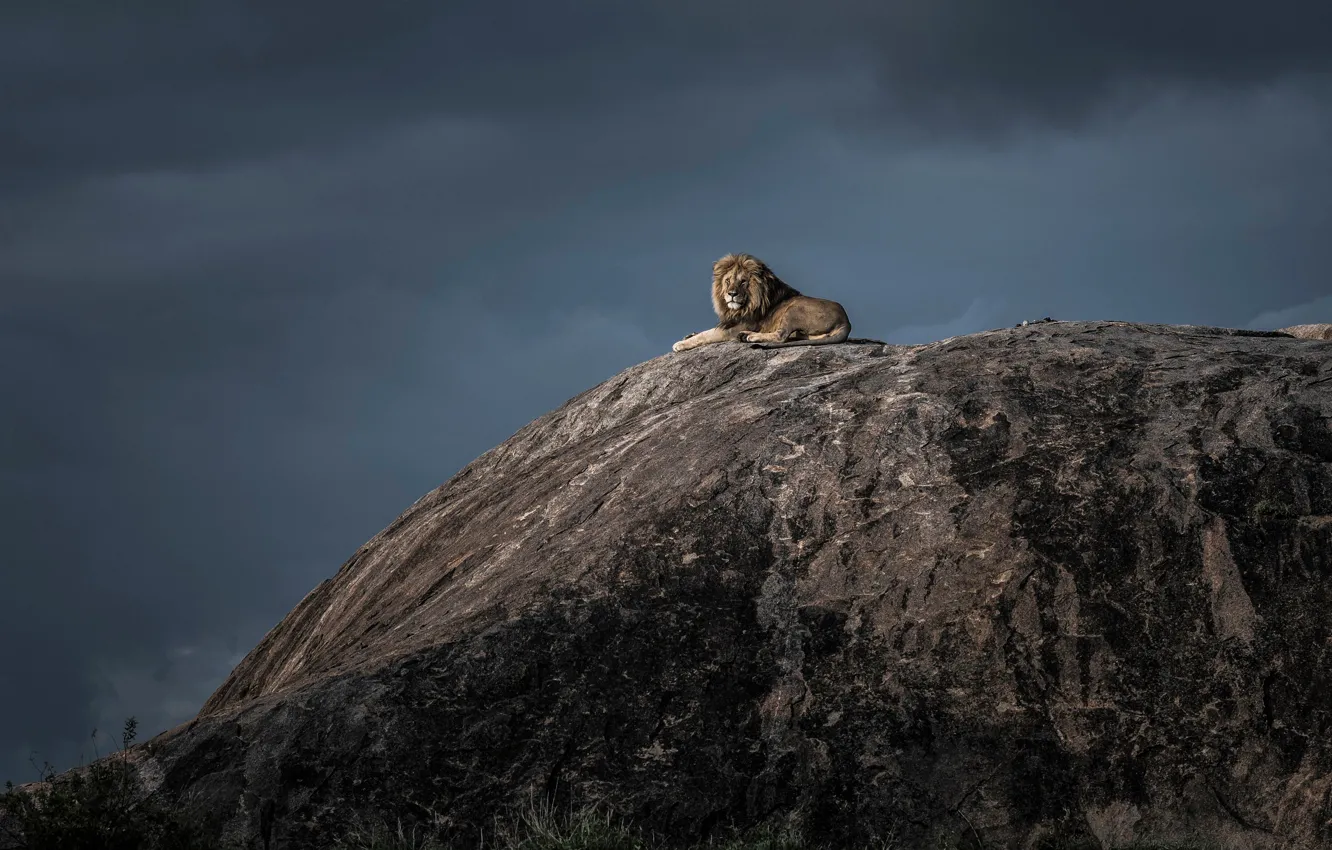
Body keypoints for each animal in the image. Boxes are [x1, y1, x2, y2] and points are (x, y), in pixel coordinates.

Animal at [672, 253, 852, 352]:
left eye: (743, 281)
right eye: (728, 281)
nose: (732, 294)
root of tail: (846, 321)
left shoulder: (734, 328)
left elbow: (707, 334)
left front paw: (681, 344)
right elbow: (705, 330)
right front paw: (689, 335)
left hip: (794, 309)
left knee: (781, 336)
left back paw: (749, 336)